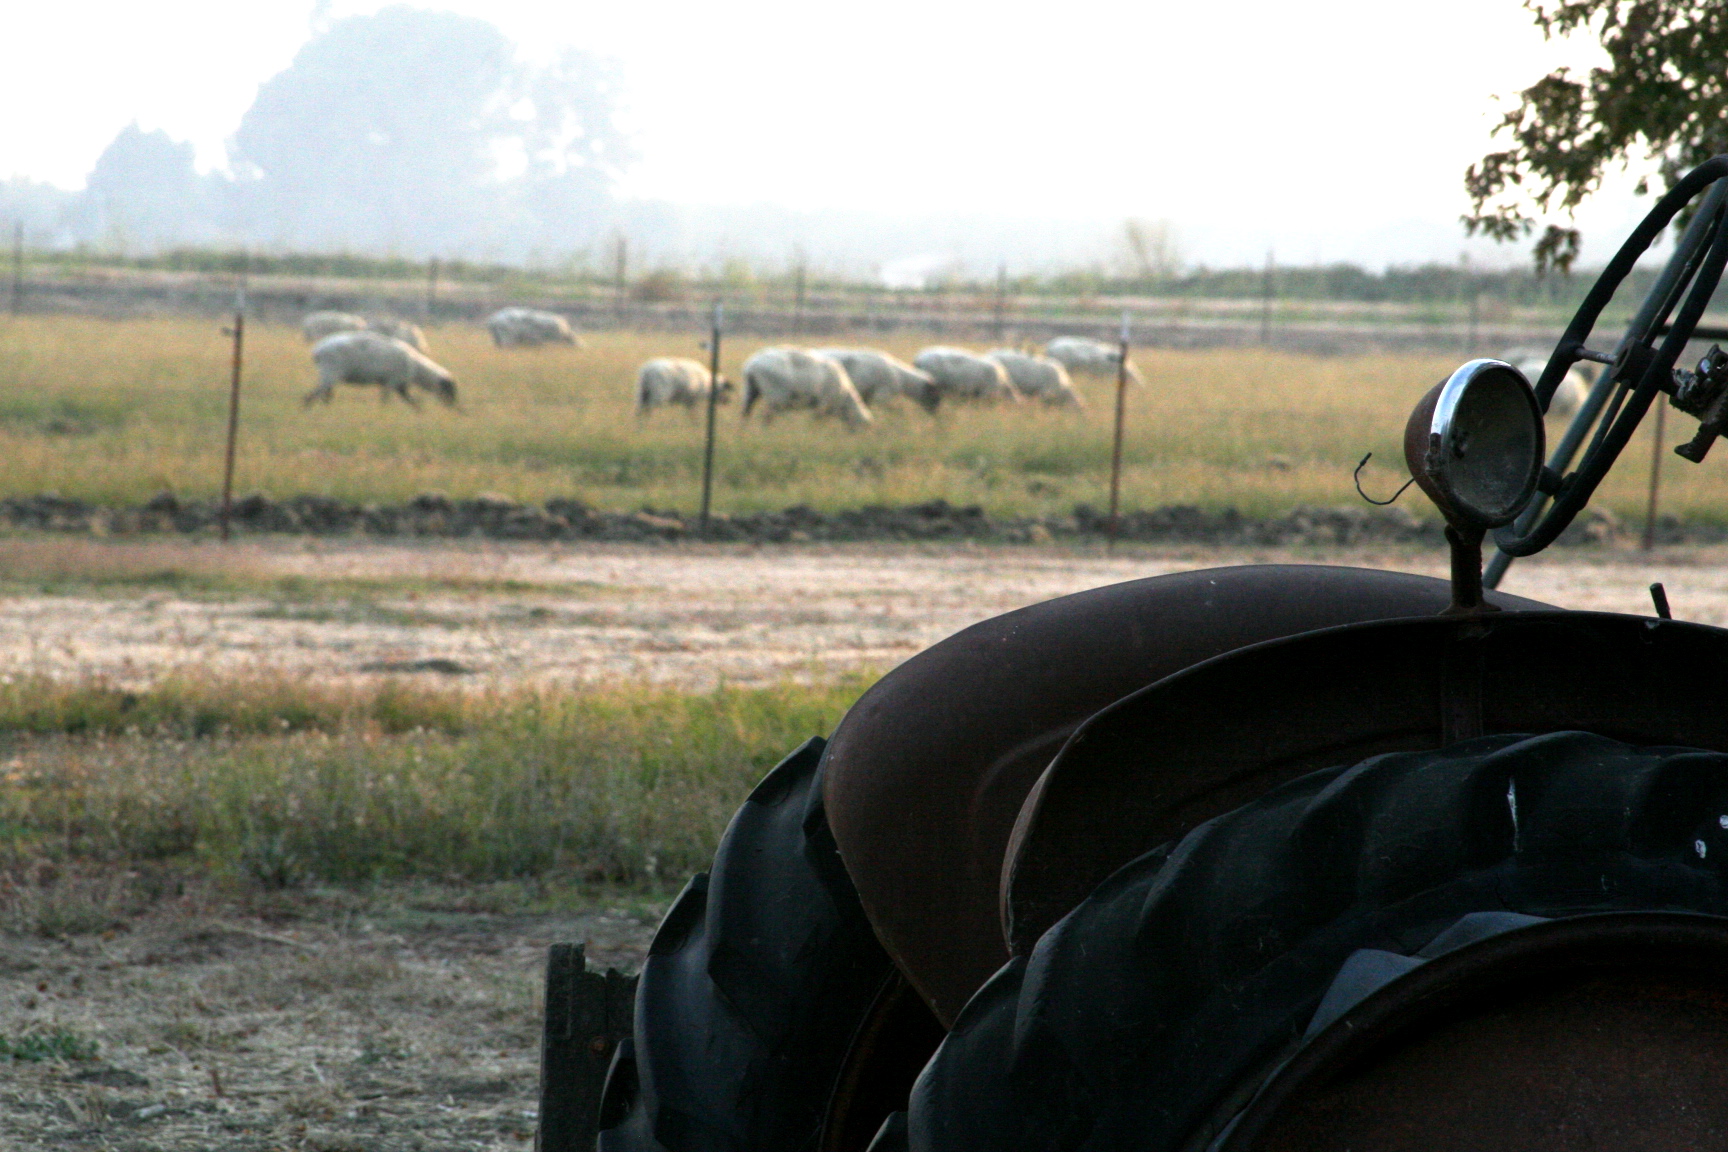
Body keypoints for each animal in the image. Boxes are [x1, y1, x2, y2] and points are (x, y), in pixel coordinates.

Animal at [306, 331, 458, 408]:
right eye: (449, 389)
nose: (455, 408)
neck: (416, 368)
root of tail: (317, 351)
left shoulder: (397, 384)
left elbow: (411, 401)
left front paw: (419, 412)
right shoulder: (393, 382)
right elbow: (387, 400)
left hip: (329, 374)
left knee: (324, 393)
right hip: (330, 371)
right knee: (315, 394)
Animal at [741, 347, 873, 428]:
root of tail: (751, 365)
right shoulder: (823, 403)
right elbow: (818, 420)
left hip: (750, 390)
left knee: (745, 412)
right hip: (776, 396)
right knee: (767, 415)